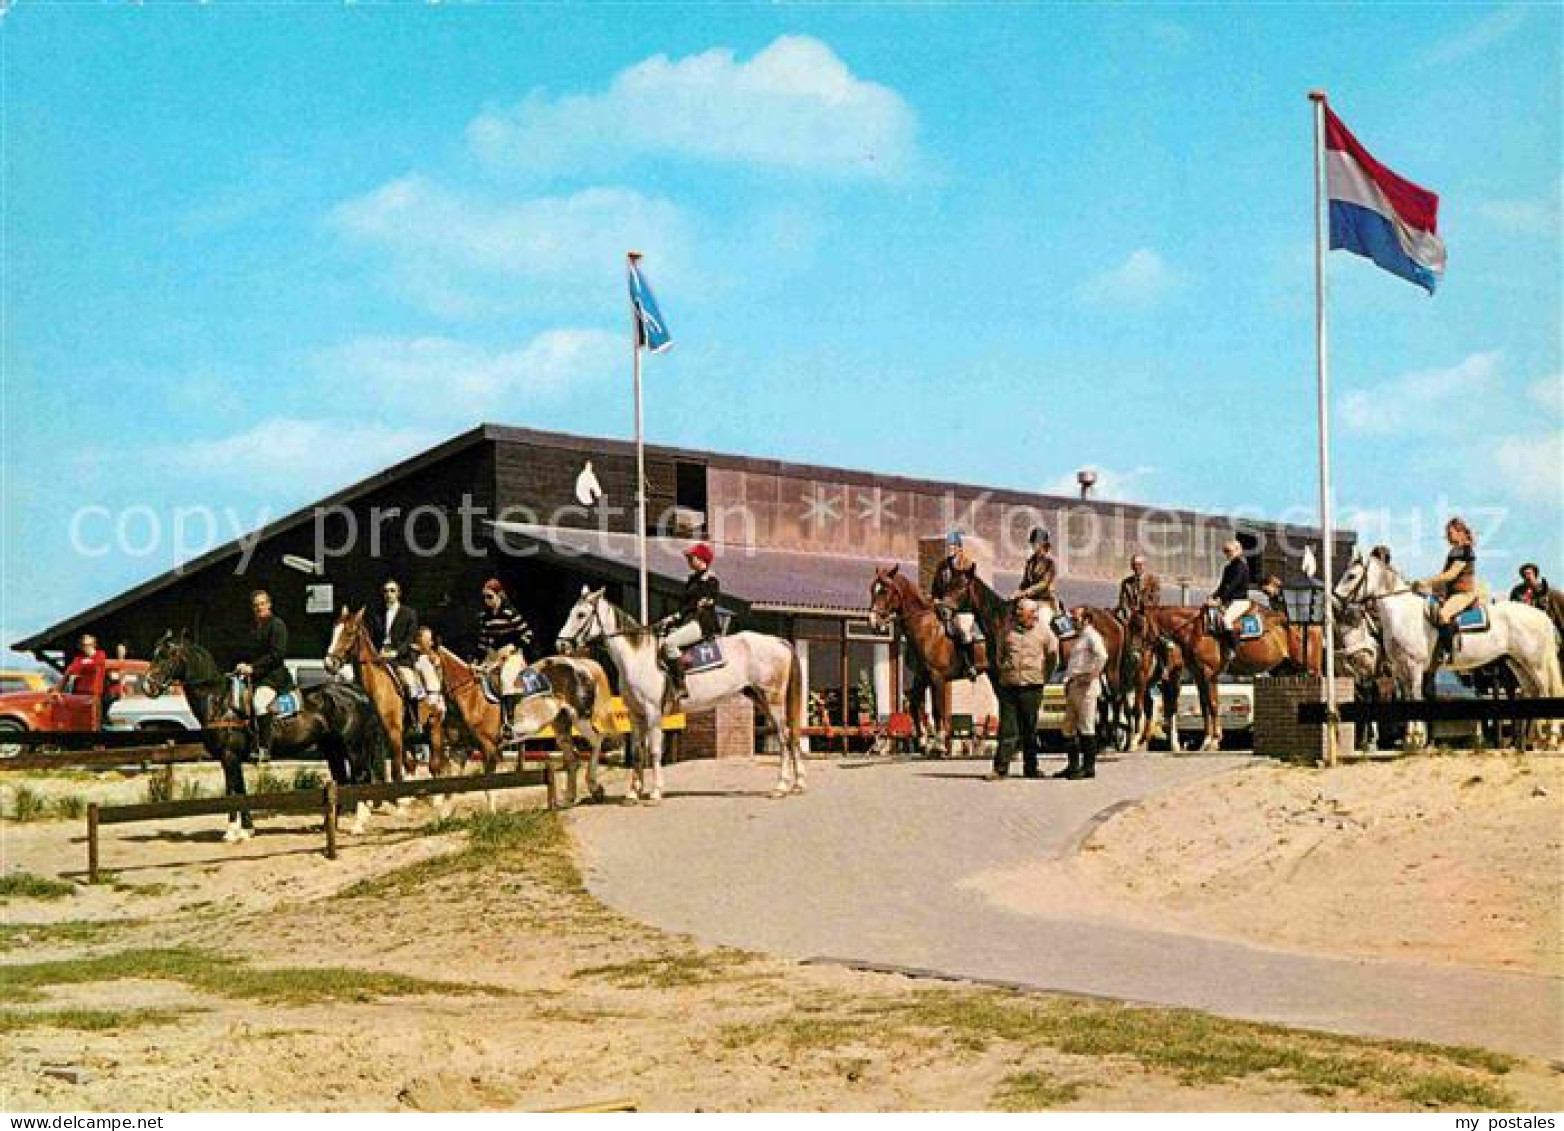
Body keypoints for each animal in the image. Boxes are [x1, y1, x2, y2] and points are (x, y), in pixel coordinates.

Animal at [144, 631, 387, 844]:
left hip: (352, 747)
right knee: (342, 781)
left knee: (361, 777)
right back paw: (329, 826)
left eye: (165, 655)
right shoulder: (231, 759)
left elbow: (231, 792)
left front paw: (231, 833)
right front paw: (247, 830)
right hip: (333, 749)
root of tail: (356, 692)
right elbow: (240, 790)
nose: (147, 687)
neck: (220, 702)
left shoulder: (229, 756)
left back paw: (358, 824)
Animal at [428, 641, 622, 807]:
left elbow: (488, 787)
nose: (432, 705)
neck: (471, 697)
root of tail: (581, 663)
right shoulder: (460, 751)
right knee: (573, 757)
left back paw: (594, 788)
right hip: (561, 723)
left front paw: (492, 815)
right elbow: (450, 787)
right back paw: (569, 797)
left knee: (596, 741)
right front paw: (443, 816)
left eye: (436, 665)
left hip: (581, 718)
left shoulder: (489, 748)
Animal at [556, 585, 807, 807]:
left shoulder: (652, 713)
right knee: (790, 737)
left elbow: (654, 751)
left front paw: (656, 792)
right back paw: (798, 784)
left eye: (581, 614)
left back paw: (780, 787)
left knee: (784, 738)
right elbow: (637, 753)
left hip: (773, 702)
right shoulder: (636, 715)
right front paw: (632, 794)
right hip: (761, 699)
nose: (561, 645)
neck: (637, 657)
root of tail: (778, 641)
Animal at [1332, 550, 1564, 750]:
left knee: (1547, 691)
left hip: (1535, 664)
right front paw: (1410, 740)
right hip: (1517, 663)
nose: (1334, 603)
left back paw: (1550, 739)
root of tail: (1541, 615)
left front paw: (1416, 739)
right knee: (1534, 692)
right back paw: (1534, 739)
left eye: (1351, 576)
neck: (1403, 614)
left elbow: (1415, 697)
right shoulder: (1401, 670)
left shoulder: (1414, 667)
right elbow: (1408, 698)